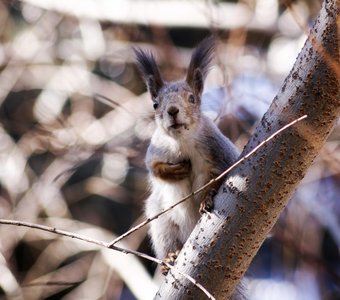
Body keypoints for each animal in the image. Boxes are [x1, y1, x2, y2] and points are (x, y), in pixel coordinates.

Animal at [134, 37, 240, 276]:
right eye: (155, 104)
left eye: (192, 98)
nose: (172, 110)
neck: (181, 141)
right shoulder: (156, 149)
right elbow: (153, 168)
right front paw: (173, 171)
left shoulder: (219, 148)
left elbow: (224, 173)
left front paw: (209, 195)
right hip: (162, 221)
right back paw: (169, 257)